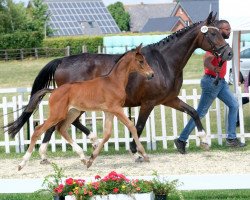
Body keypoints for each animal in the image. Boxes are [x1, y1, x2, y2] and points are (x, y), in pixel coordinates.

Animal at [17, 44, 153, 170]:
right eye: (141, 61)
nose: (151, 74)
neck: (114, 81)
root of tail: (53, 91)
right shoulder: (116, 109)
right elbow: (131, 126)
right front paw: (144, 155)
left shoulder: (109, 111)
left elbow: (107, 134)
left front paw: (91, 159)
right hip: (58, 114)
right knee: (38, 130)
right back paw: (22, 163)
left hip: (73, 112)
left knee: (61, 128)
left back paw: (82, 157)